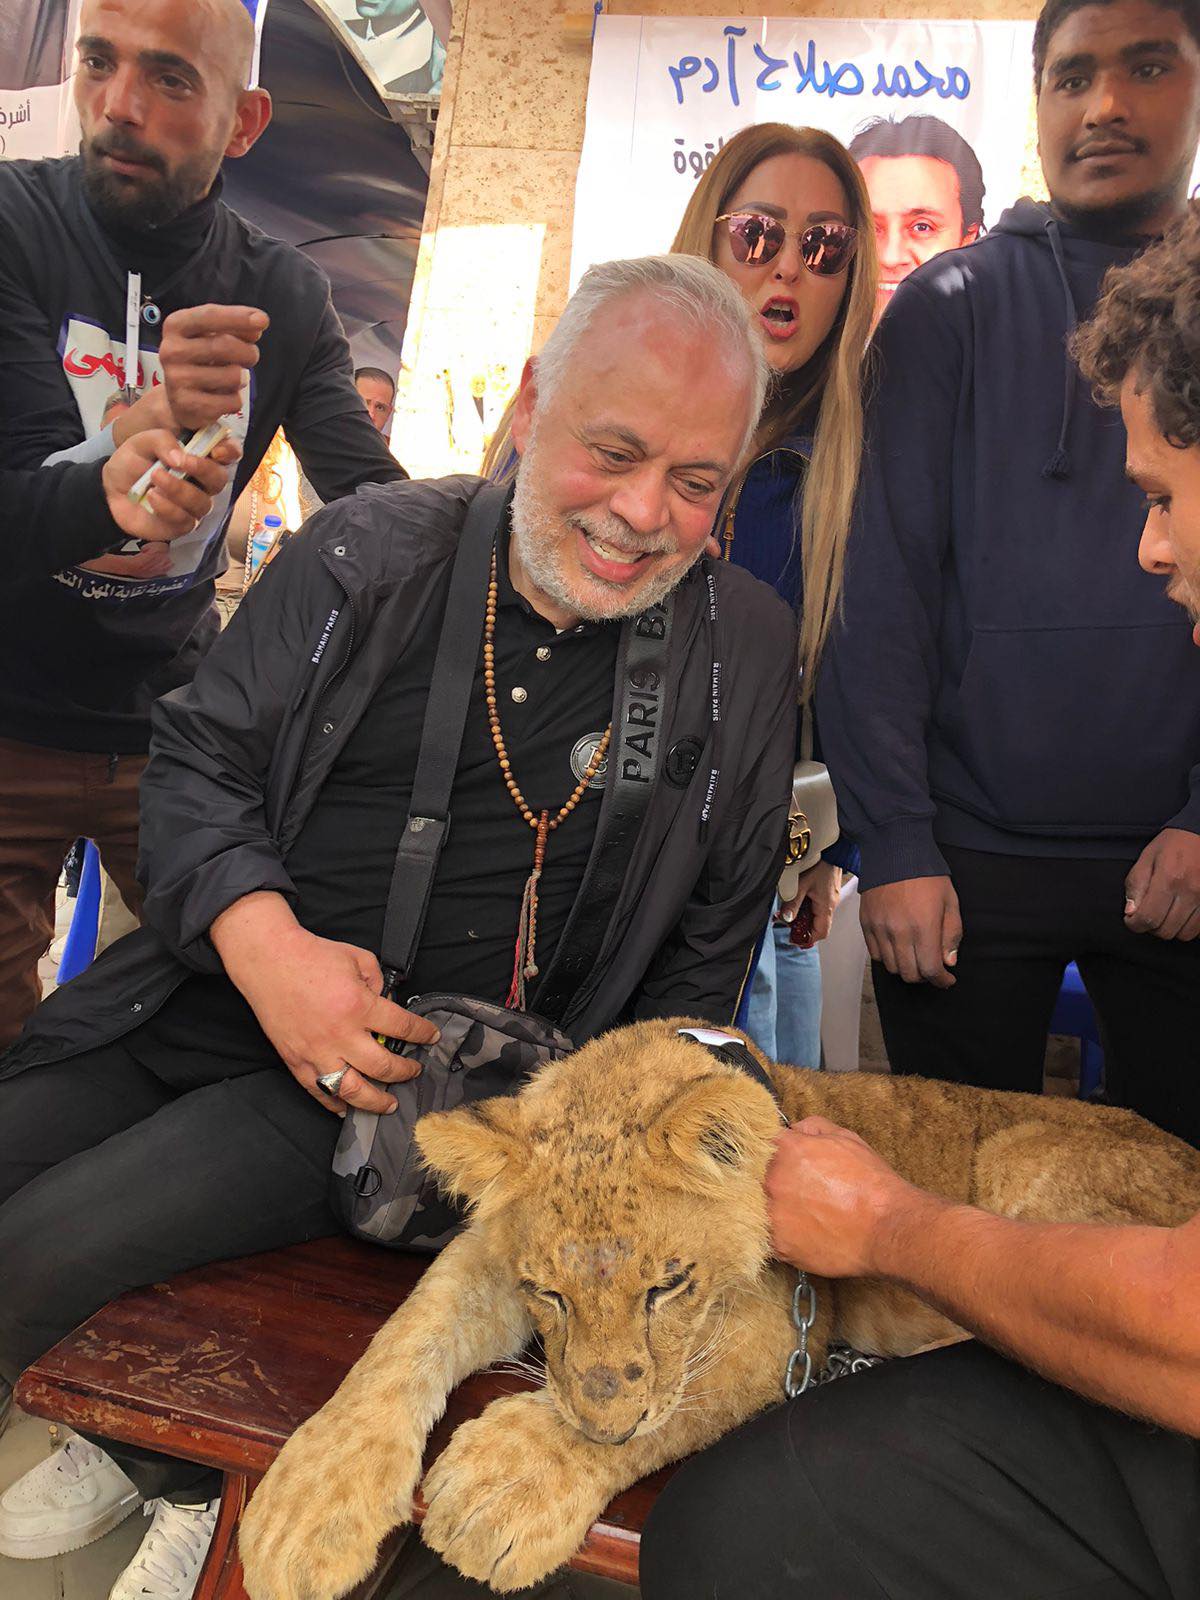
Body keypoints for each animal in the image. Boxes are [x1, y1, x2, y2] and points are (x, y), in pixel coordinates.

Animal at [238, 1015, 1200, 1599]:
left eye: (668, 1285)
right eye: (549, 1292)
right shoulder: (487, 1258)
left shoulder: (783, 1323)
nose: (603, 1428)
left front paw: (510, 1478)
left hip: (1021, 1155)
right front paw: (306, 1506)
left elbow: (679, 1400)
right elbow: (407, 1333)